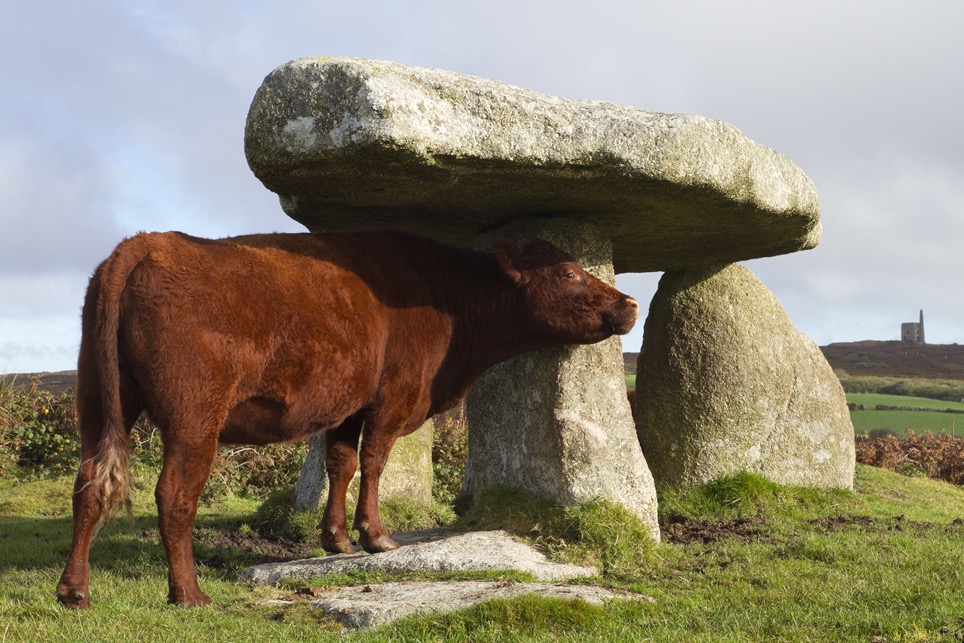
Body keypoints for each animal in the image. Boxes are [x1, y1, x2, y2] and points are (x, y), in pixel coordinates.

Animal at [56, 229, 638, 608]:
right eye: (567, 272)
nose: (630, 303)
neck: (447, 302)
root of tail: (146, 242)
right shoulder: (393, 400)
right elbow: (374, 461)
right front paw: (375, 536)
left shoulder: (347, 405)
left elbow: (341, 462)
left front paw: (334, 539)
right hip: (194, 416)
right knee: (175, 494)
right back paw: (189, 594)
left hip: (97, 403)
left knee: (88, 483)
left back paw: (74, 589)